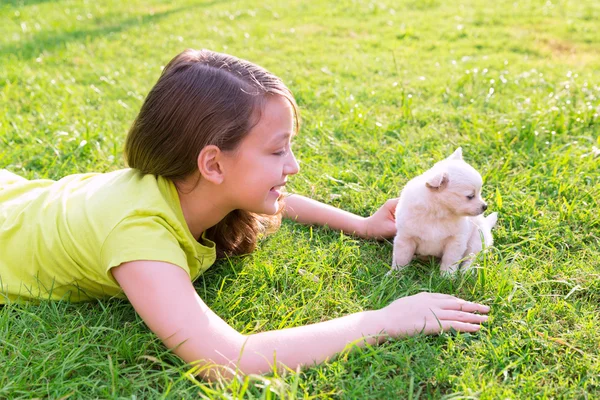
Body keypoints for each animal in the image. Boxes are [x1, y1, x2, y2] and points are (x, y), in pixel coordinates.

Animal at [390, 148, 496, 276]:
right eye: (470, 196)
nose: (485, 206)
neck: (438, 213)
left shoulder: (456, 241)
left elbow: (450, 259)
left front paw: (447, 276)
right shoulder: (405, 238)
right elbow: (401, 257)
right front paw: (395, 274)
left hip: (477, 239)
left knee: (470, 257)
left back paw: (466, 271)